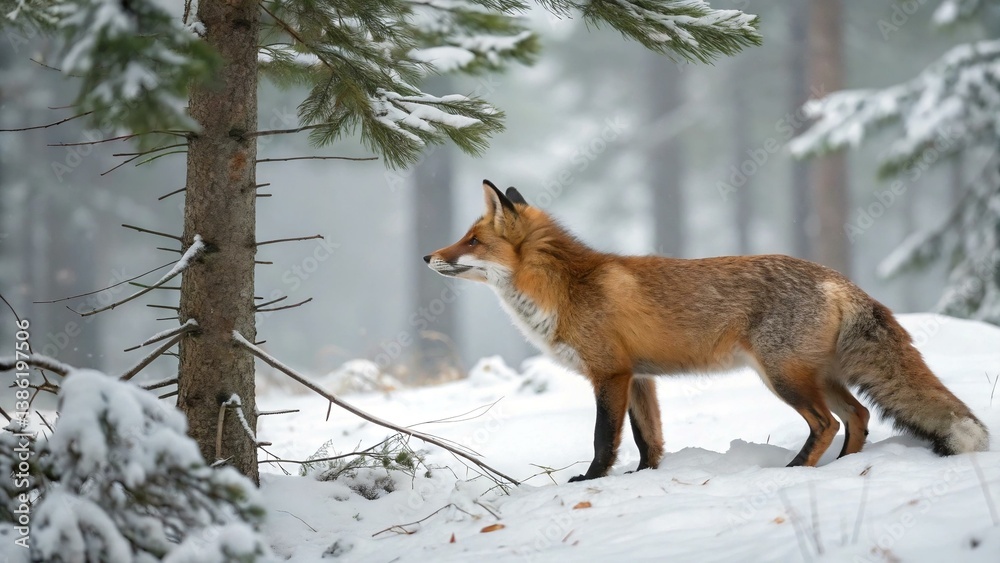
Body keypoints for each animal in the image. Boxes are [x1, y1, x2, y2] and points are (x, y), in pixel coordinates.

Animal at [424, 180, 990, 482]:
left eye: (471, 240)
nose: (427, 257)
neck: (565, 288)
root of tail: (837, 278)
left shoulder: (609, 374)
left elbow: (604, 438)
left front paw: (591, 480)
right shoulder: (640, 378)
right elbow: (648, 440)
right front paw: (643, 479)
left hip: (784, 377)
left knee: (828, 422)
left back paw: (797, 469)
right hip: (819, 375)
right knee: (859, 417)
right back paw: (843, 469)